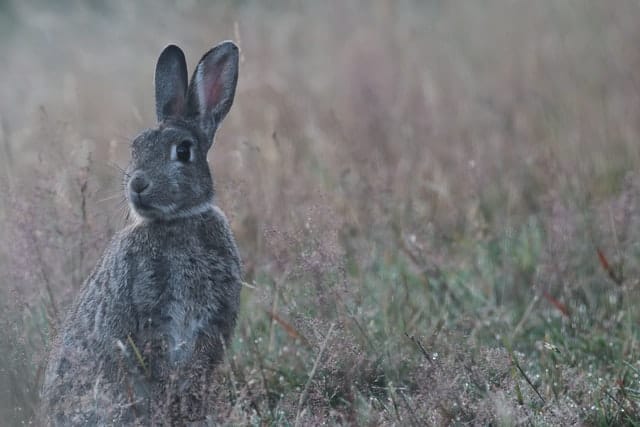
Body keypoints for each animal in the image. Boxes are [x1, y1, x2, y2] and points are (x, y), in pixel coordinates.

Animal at [41, 41, 242, 426]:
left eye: (183, 151)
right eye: (135, 146)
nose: (137, 185)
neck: (178, 221)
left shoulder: (210, 325)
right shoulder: (149, 317)